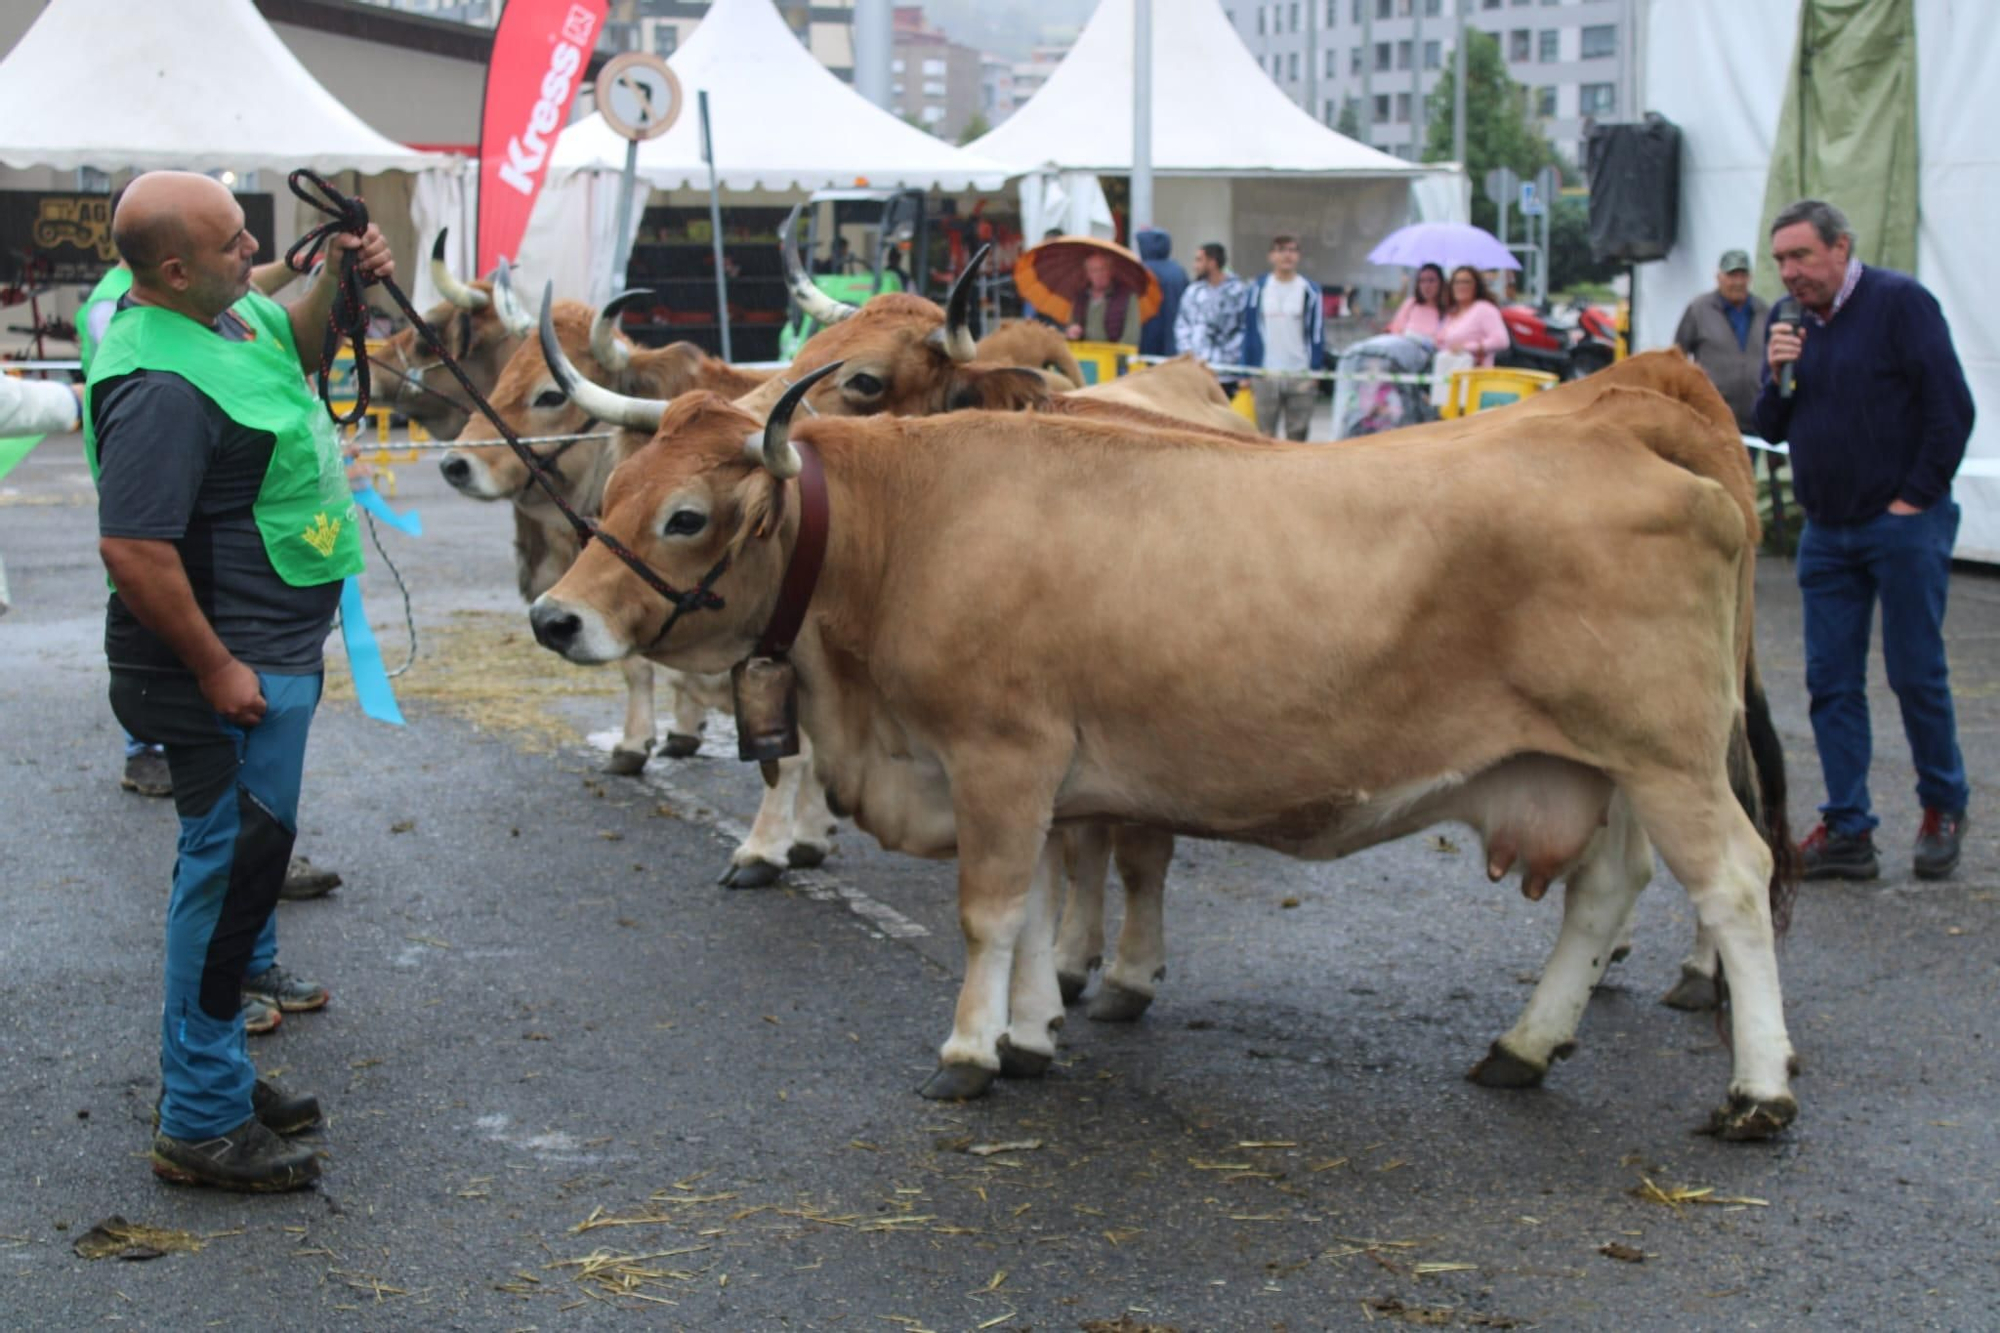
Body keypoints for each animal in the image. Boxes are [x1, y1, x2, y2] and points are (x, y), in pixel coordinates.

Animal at [528, 368, 1800, 1136]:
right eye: (618, 485)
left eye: (686, 516)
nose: (553, 617)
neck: (905, 531)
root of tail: (1619, 412)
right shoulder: (1044, 775)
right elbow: (1044, 905)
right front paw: (1032, 1030)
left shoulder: (1000, 753)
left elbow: (991, 909)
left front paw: (969, 1048)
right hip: (1610, 764)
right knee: (1605, 888)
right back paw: (1523, 1045)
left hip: (1667, 757)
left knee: (1734, 883)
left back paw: (1757, 1087)